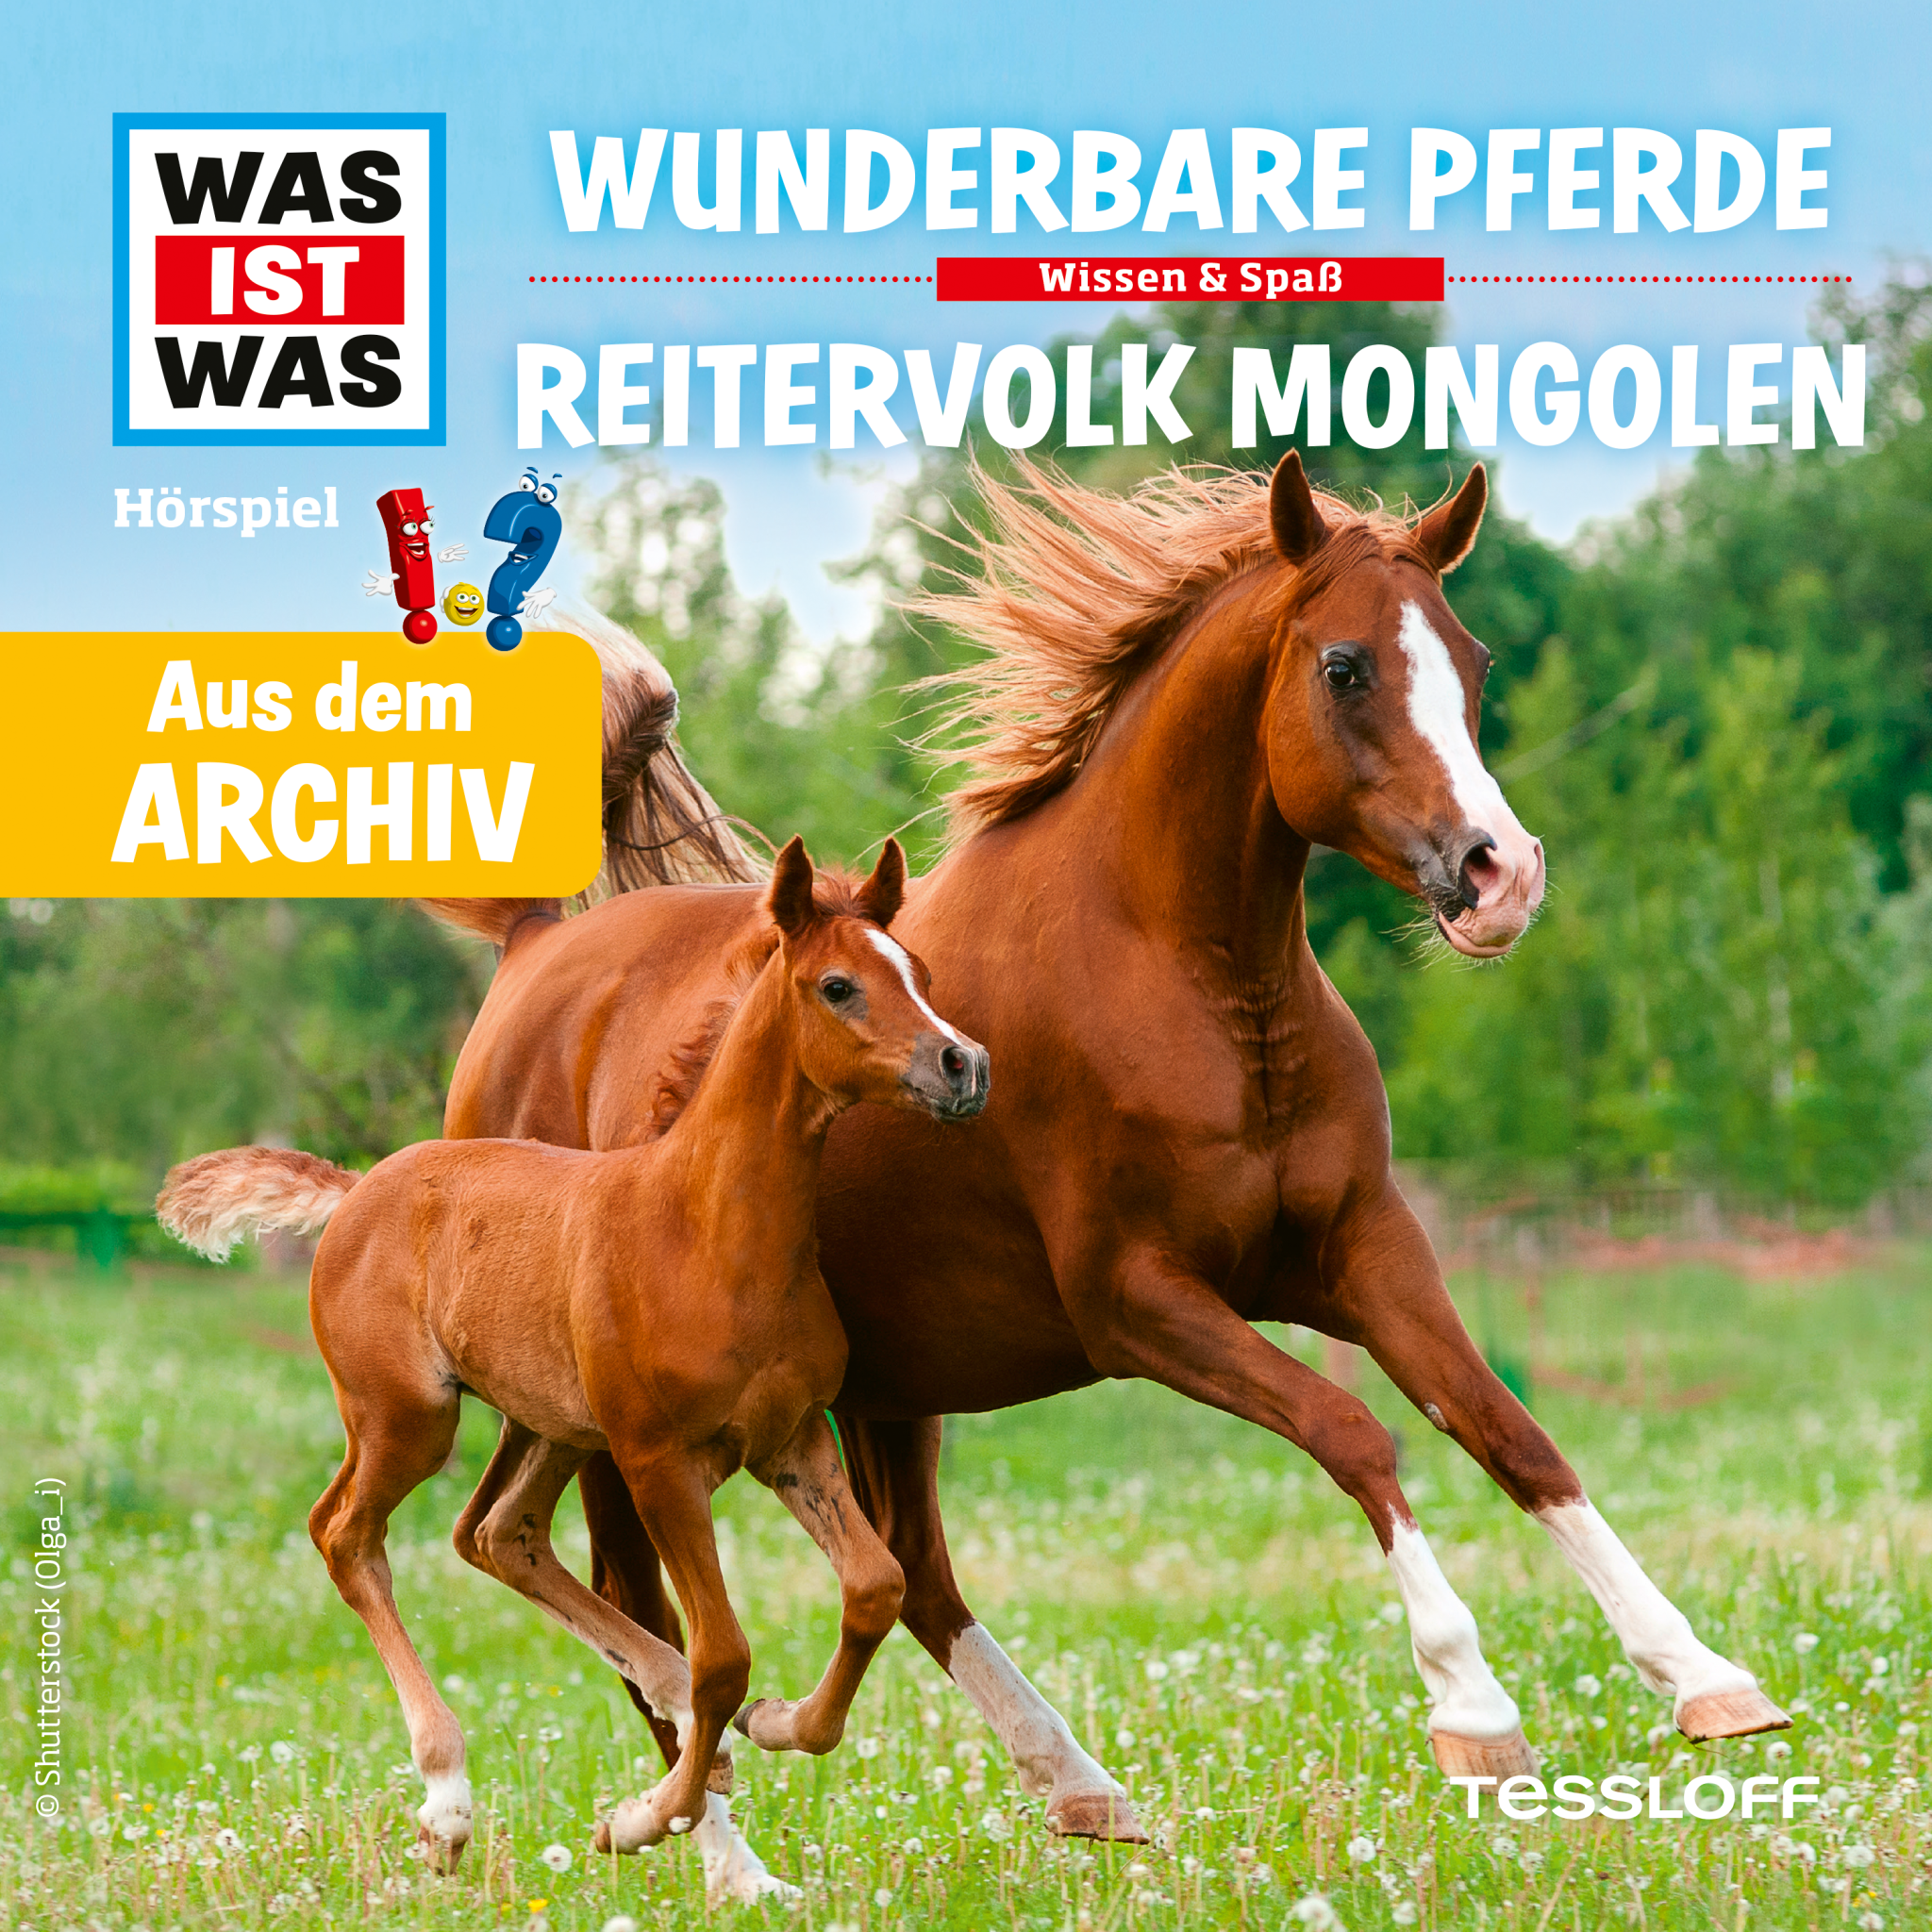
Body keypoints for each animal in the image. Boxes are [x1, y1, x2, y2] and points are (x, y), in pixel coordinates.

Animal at [158, 836, 989, 1881]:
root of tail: (357, 1188)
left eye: (917, 972)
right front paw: (641, 1816)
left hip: (552, 1423)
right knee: (345, 1531)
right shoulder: (658, 1460)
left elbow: (872, 1588)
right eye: (837, 985)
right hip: (410, 1418)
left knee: (497, 1532)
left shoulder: (791, 1440)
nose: (964, 1063)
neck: (707, 1230)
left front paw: (778, 1722)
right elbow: (724, 1653)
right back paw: (447, 1799)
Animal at [429, 454, 1788, 1873]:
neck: (1190, 983)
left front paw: (1705, 1678)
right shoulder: (1137, 1301)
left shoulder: (1363, 1250)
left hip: (889, 1381)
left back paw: (1074, 1781)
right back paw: (725, 1854)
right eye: (1345, 664)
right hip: (620, 1414)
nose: (1499, 873)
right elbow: (1354, 1433)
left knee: (909, 1570)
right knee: (640, 1599)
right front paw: (1473, 1709)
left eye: (1468, 659)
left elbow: (1510, 1433)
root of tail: (533, 951)